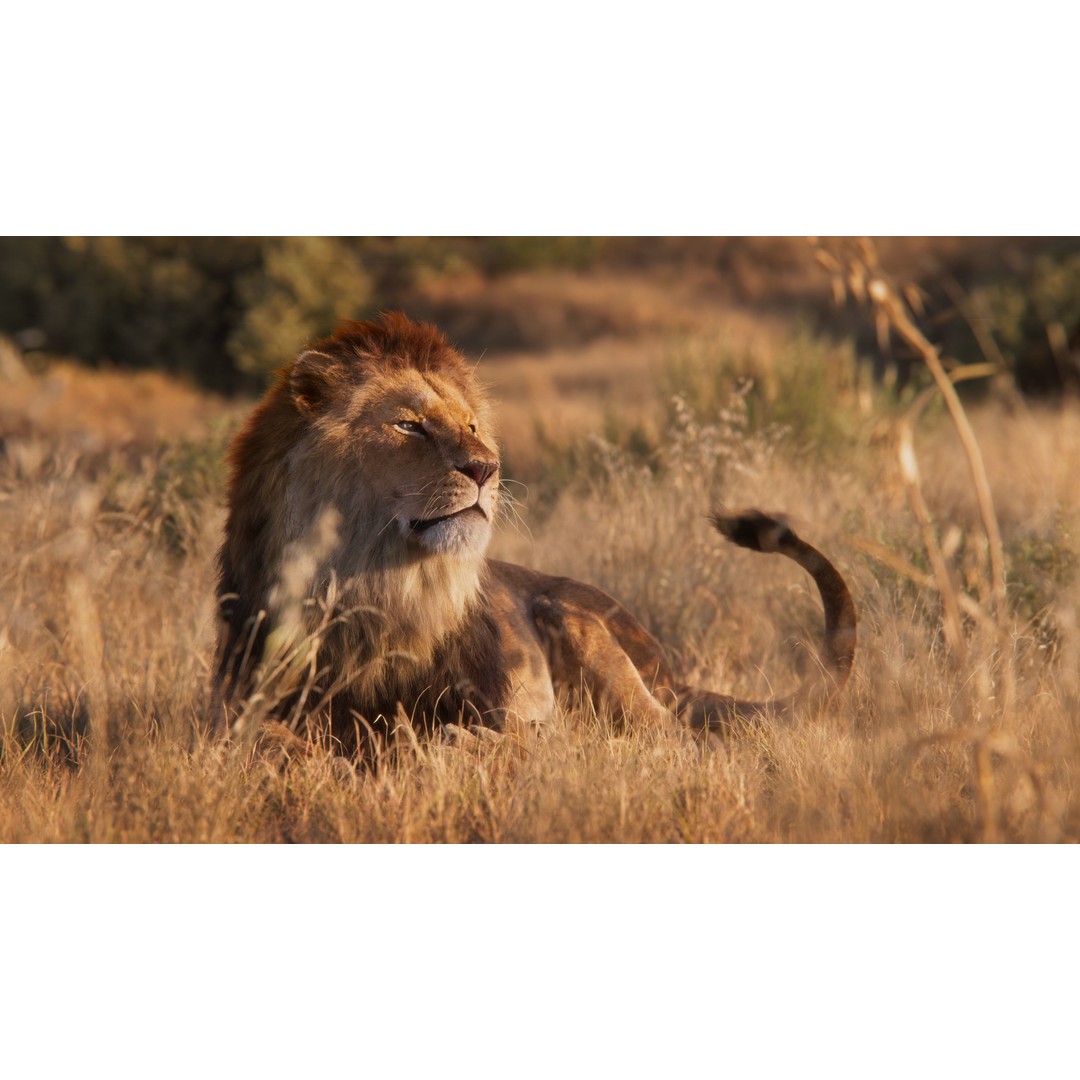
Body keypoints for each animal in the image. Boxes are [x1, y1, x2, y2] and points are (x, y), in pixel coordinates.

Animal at [214, 311, 856, 757]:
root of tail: (665, 666)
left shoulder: (508, 697)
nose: (486, 468)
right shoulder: (235, 700)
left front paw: (455, 744)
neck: (381, 589)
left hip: (574, 622)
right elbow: (258, 741)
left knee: (676, 738)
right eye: (409, 425)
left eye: (472, 427)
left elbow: (514, 734)